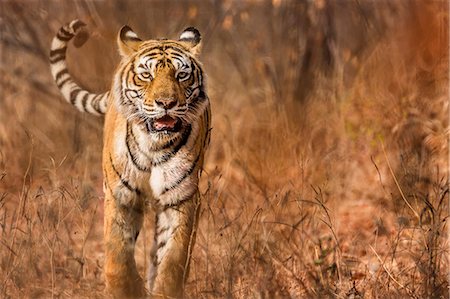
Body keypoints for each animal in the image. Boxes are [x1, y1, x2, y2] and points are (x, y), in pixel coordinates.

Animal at [49, 19, 211, 298]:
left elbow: (173, 258)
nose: (166, 103)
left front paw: (163, 289)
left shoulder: (182, 198)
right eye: (146, 75)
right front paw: (126, 288)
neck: (154, 145)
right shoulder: (120, 195)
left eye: (182, 75)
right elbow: (117, 255)